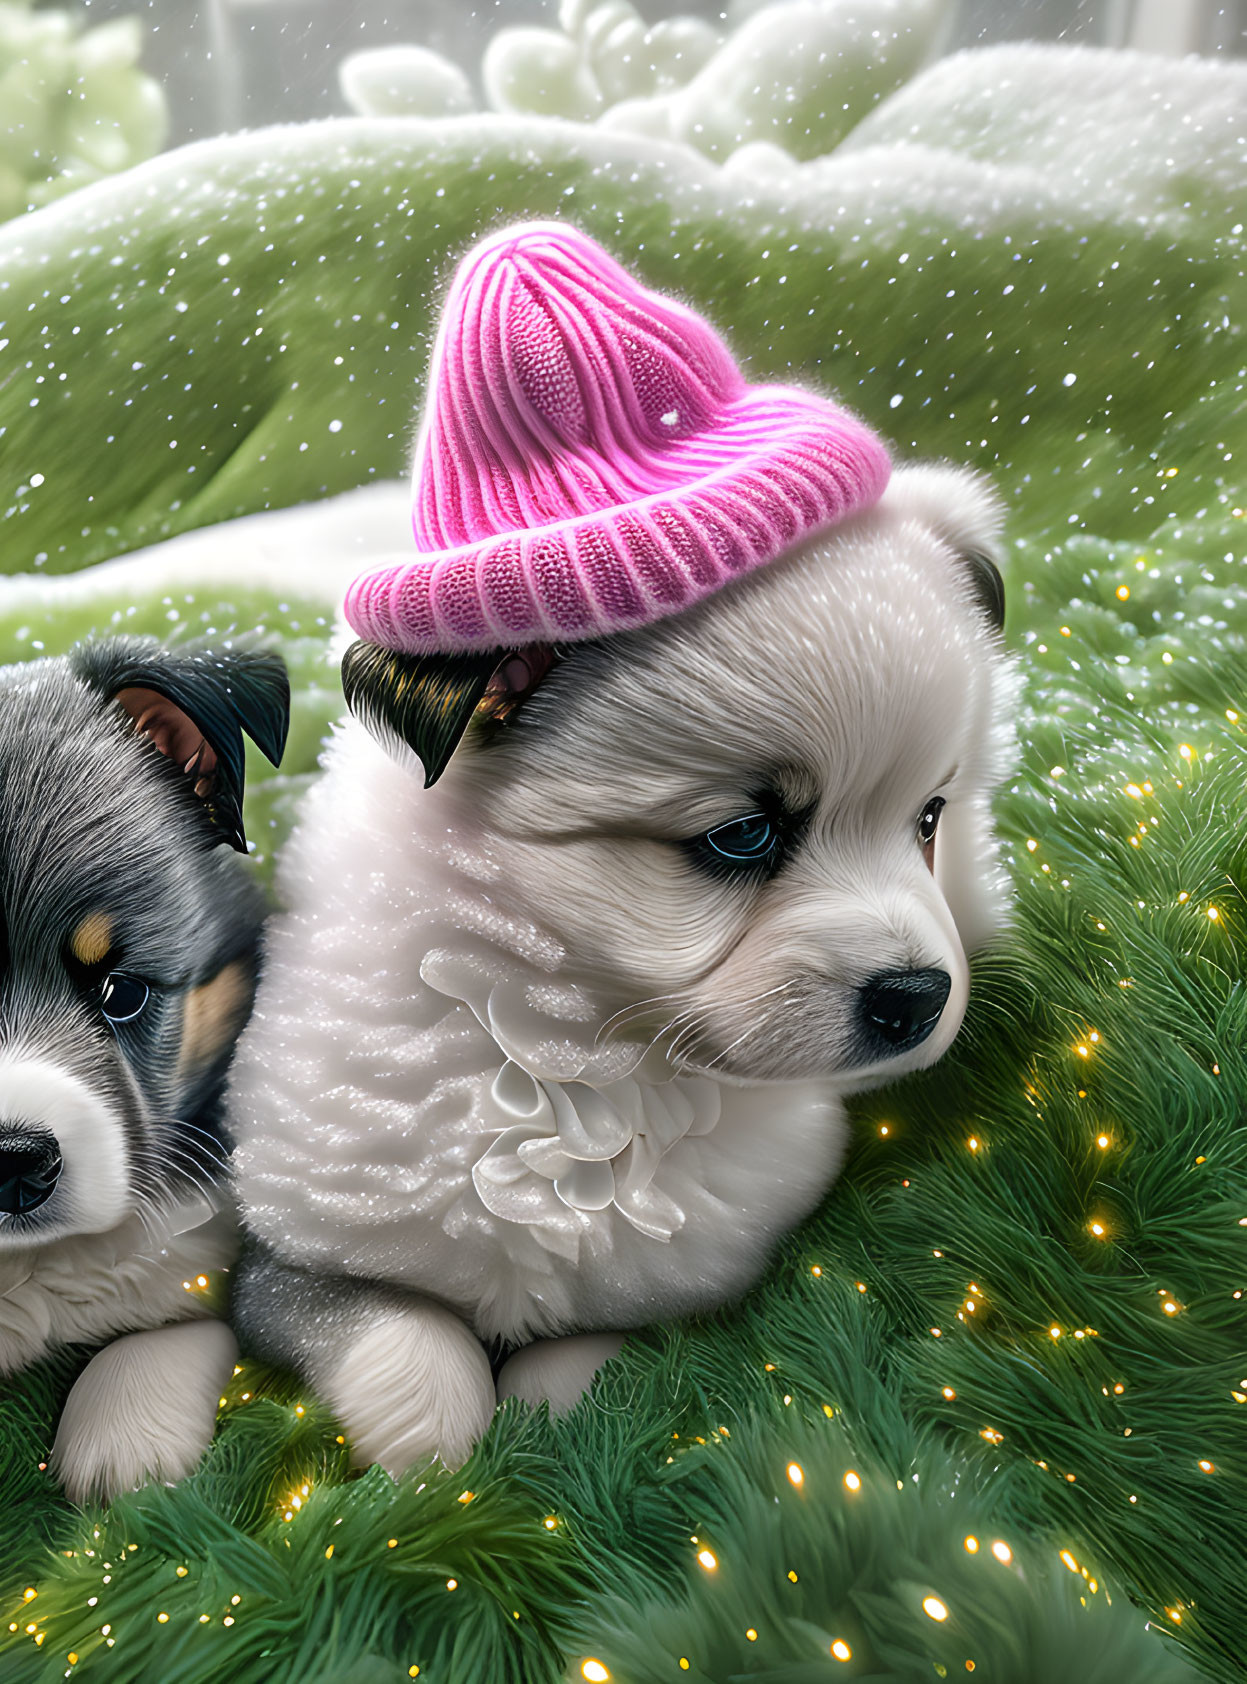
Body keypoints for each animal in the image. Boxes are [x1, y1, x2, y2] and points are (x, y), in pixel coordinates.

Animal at [229, 464, 1017, 1475]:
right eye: (741, 835)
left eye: (926, 818)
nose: (919, 1000)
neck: (592, 1067)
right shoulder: (284, 1252)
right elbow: (393, 1329)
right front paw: (431, 1455)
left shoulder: (679, 1290)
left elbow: (582, 1357)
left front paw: (541, 1423)